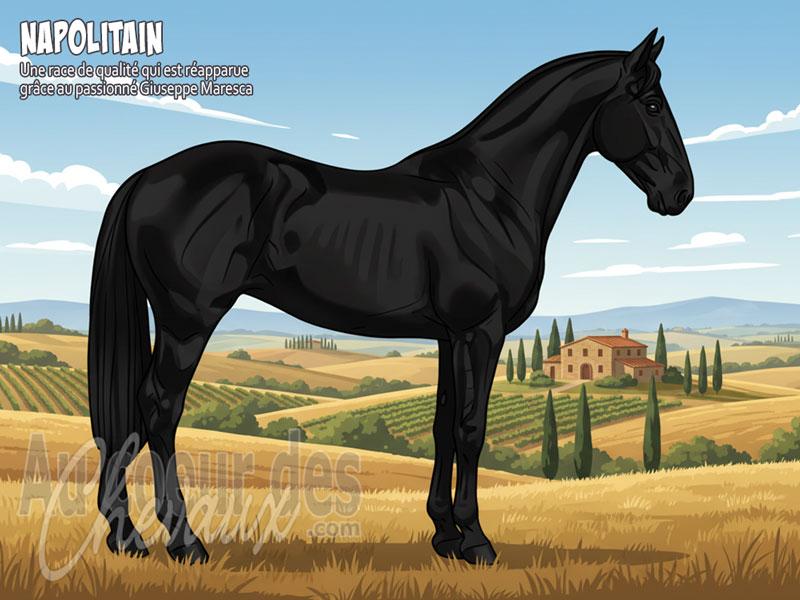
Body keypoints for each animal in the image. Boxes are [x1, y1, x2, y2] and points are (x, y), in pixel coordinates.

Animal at [88, 29, 693, 566]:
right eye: (653, 103)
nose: (681, 193)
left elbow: (444, 427)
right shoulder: (481, 329)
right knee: (159, 410)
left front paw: (445, 536)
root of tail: (146, 177)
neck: (489, 194)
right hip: (188, 321)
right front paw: (477, 542)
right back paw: (183, 541)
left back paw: (128, 537)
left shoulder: (449, 336)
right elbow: (471, 429)